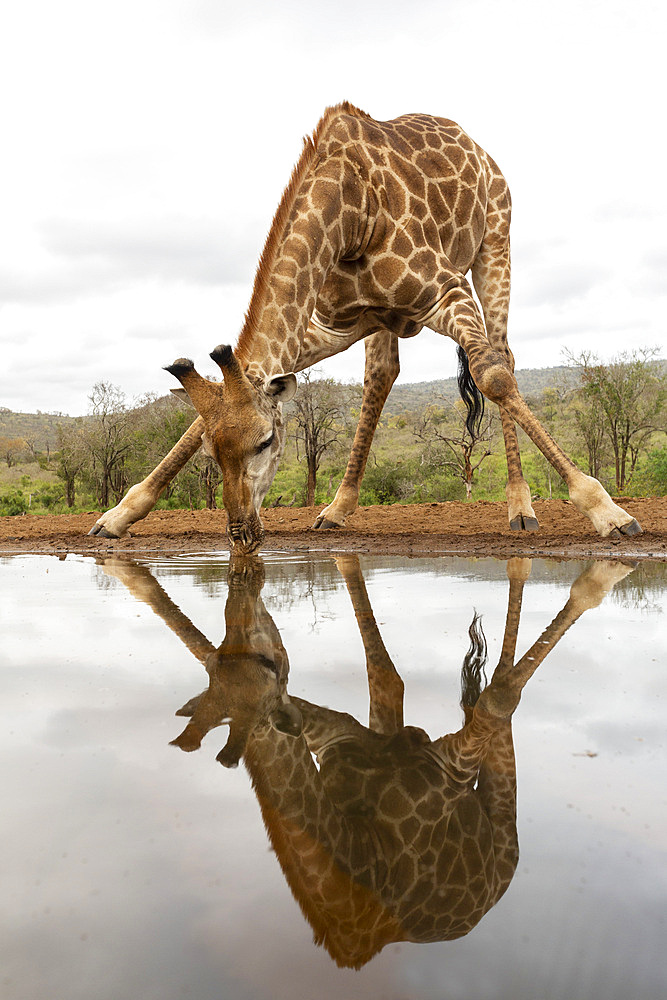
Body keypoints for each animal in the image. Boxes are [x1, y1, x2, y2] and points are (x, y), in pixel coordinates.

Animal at [87, 103, 640, 548]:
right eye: (211, 451)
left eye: (266, 441)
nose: (242, 534)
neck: (350, 211)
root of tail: (478, 148)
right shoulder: (334, 323)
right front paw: (117, 515)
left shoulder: (446, 290)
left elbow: (495, 376)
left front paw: (606, 510)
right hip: (384, 319)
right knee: (383, 373)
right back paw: (337, 507)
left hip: (495, 243)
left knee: (501, 354)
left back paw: (520, 507)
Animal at [98, 552, 632, 964]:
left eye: (265, 664)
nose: (256, 628)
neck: (364, 853)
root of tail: (488, 902)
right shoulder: (334, 731)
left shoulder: (448, 768)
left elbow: (499, 698)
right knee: (396, 682)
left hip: (502, 830)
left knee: (498, 695)